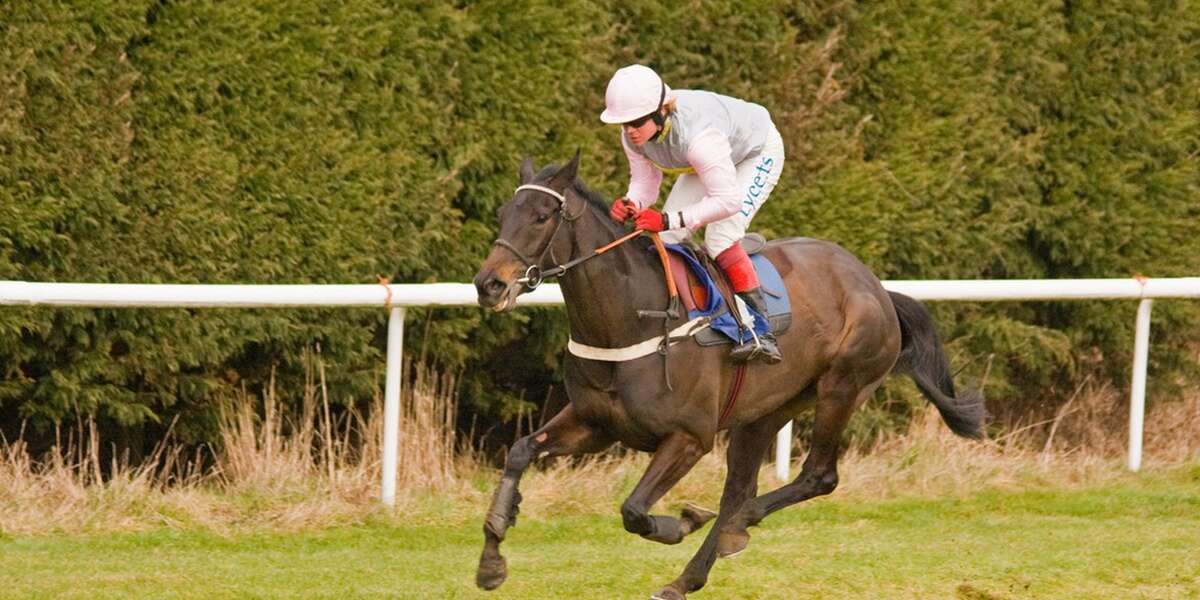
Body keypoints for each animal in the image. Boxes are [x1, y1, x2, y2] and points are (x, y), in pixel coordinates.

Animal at [472, 153, 986, 599]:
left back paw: (736, 528)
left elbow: (634, 510)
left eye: (542, 216)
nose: (488, 284)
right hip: (762, 414)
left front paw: (681, 521)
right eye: (503, 213)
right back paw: (690, 574)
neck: (631, 320)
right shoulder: (596, 422)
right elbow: (520, 452)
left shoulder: (690, 436)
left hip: (842, 387)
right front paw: (492, 558)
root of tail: (875, 286)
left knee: (814, 478)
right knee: (741, 489)